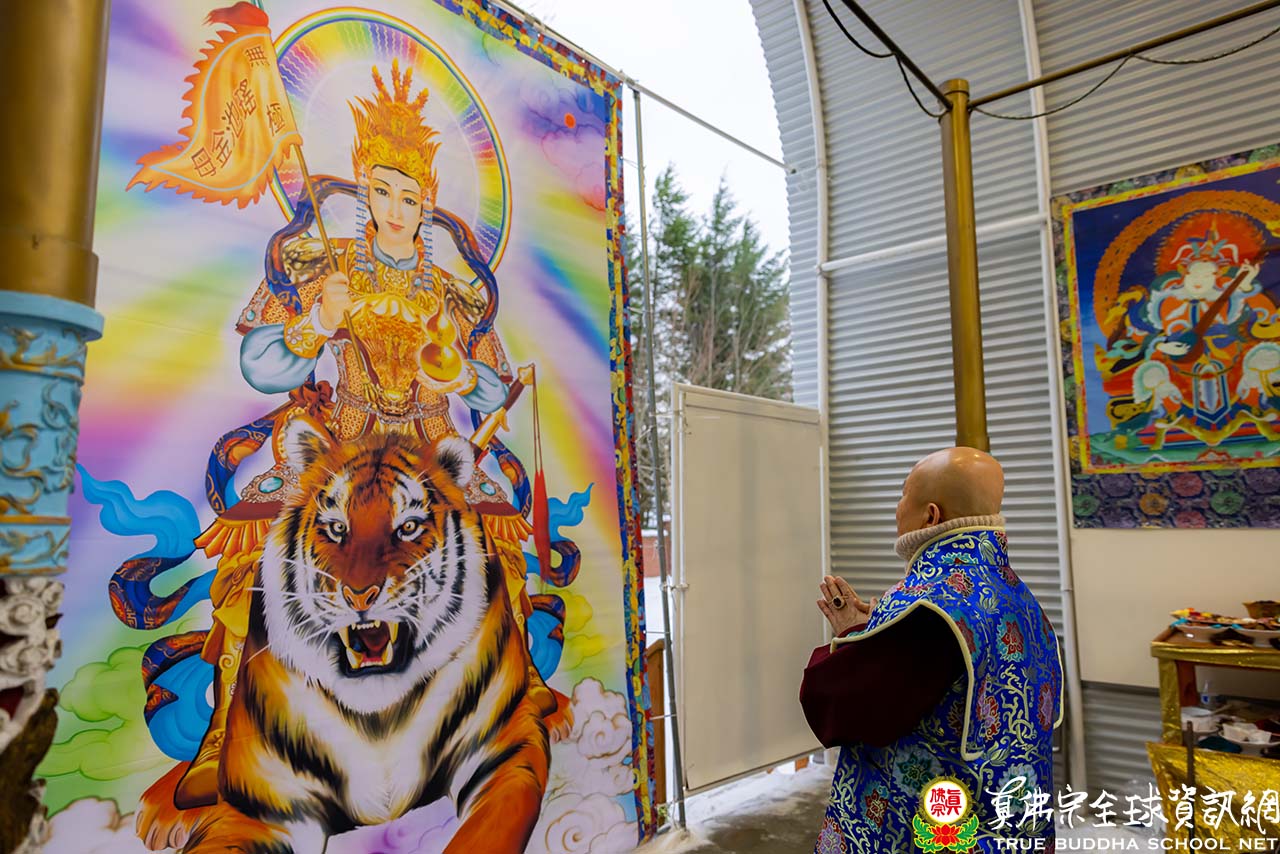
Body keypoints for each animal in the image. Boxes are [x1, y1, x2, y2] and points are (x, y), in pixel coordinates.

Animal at [140, 418, 550, 853]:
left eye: (408, 527)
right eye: (337, 528)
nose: (358, 594)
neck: (379, 717)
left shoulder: (504, 748)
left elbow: (484, 835)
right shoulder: (264, 809)